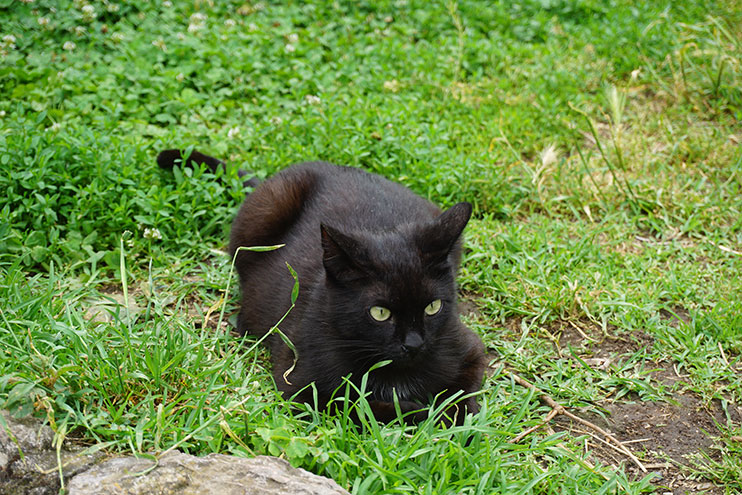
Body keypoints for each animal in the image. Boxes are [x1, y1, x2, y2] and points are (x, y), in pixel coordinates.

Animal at [155, 149, 488, 424]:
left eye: (433, 307)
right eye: (380, 313)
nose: (414, 345)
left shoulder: (468, 349)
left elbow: (461, 397)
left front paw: (452, 423)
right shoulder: (299, 383)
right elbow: (353, 405)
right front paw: (417, 411)